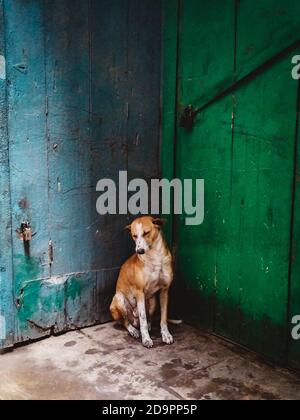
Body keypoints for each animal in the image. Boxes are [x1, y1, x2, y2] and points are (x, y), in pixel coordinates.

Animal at [110, 217, 175, 348]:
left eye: (146, 233)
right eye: (134, 236)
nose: (139, 251)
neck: (155, 257)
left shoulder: (165, 290)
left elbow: (163, 318)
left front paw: (165, 335)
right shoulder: (139, 292)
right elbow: (143, 318)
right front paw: (146, 339)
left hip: (153, 301)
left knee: (148, 317)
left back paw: (149, 326)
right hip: (119, 299)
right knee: (126, 322)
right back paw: (133, 330)